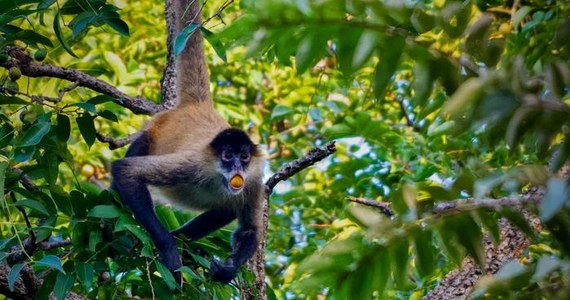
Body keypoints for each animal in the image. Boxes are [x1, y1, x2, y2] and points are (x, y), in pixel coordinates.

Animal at [111, 0, 266, 284]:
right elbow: (125, 171)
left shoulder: (253, 180)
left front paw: (228, 268)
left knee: (227, 208)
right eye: (227, 156)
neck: (217, 177)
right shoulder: (192, 163)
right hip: (153, 130)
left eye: (244, 156)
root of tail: (197, 106)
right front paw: (169, 248)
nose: (237, 167)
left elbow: (250, 229)